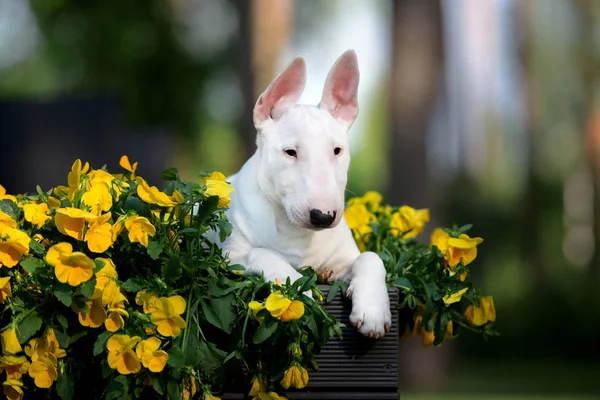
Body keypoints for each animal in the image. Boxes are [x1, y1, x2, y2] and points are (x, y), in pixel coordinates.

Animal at [218, 49, 392, 338]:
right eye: (290, 152)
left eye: (337, 150)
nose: (324, 216)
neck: (298, 233)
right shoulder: (229, 259)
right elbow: (262, 253)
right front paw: (299, 289)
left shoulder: (339, 263)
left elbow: (371, 257)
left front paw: (373, 311)